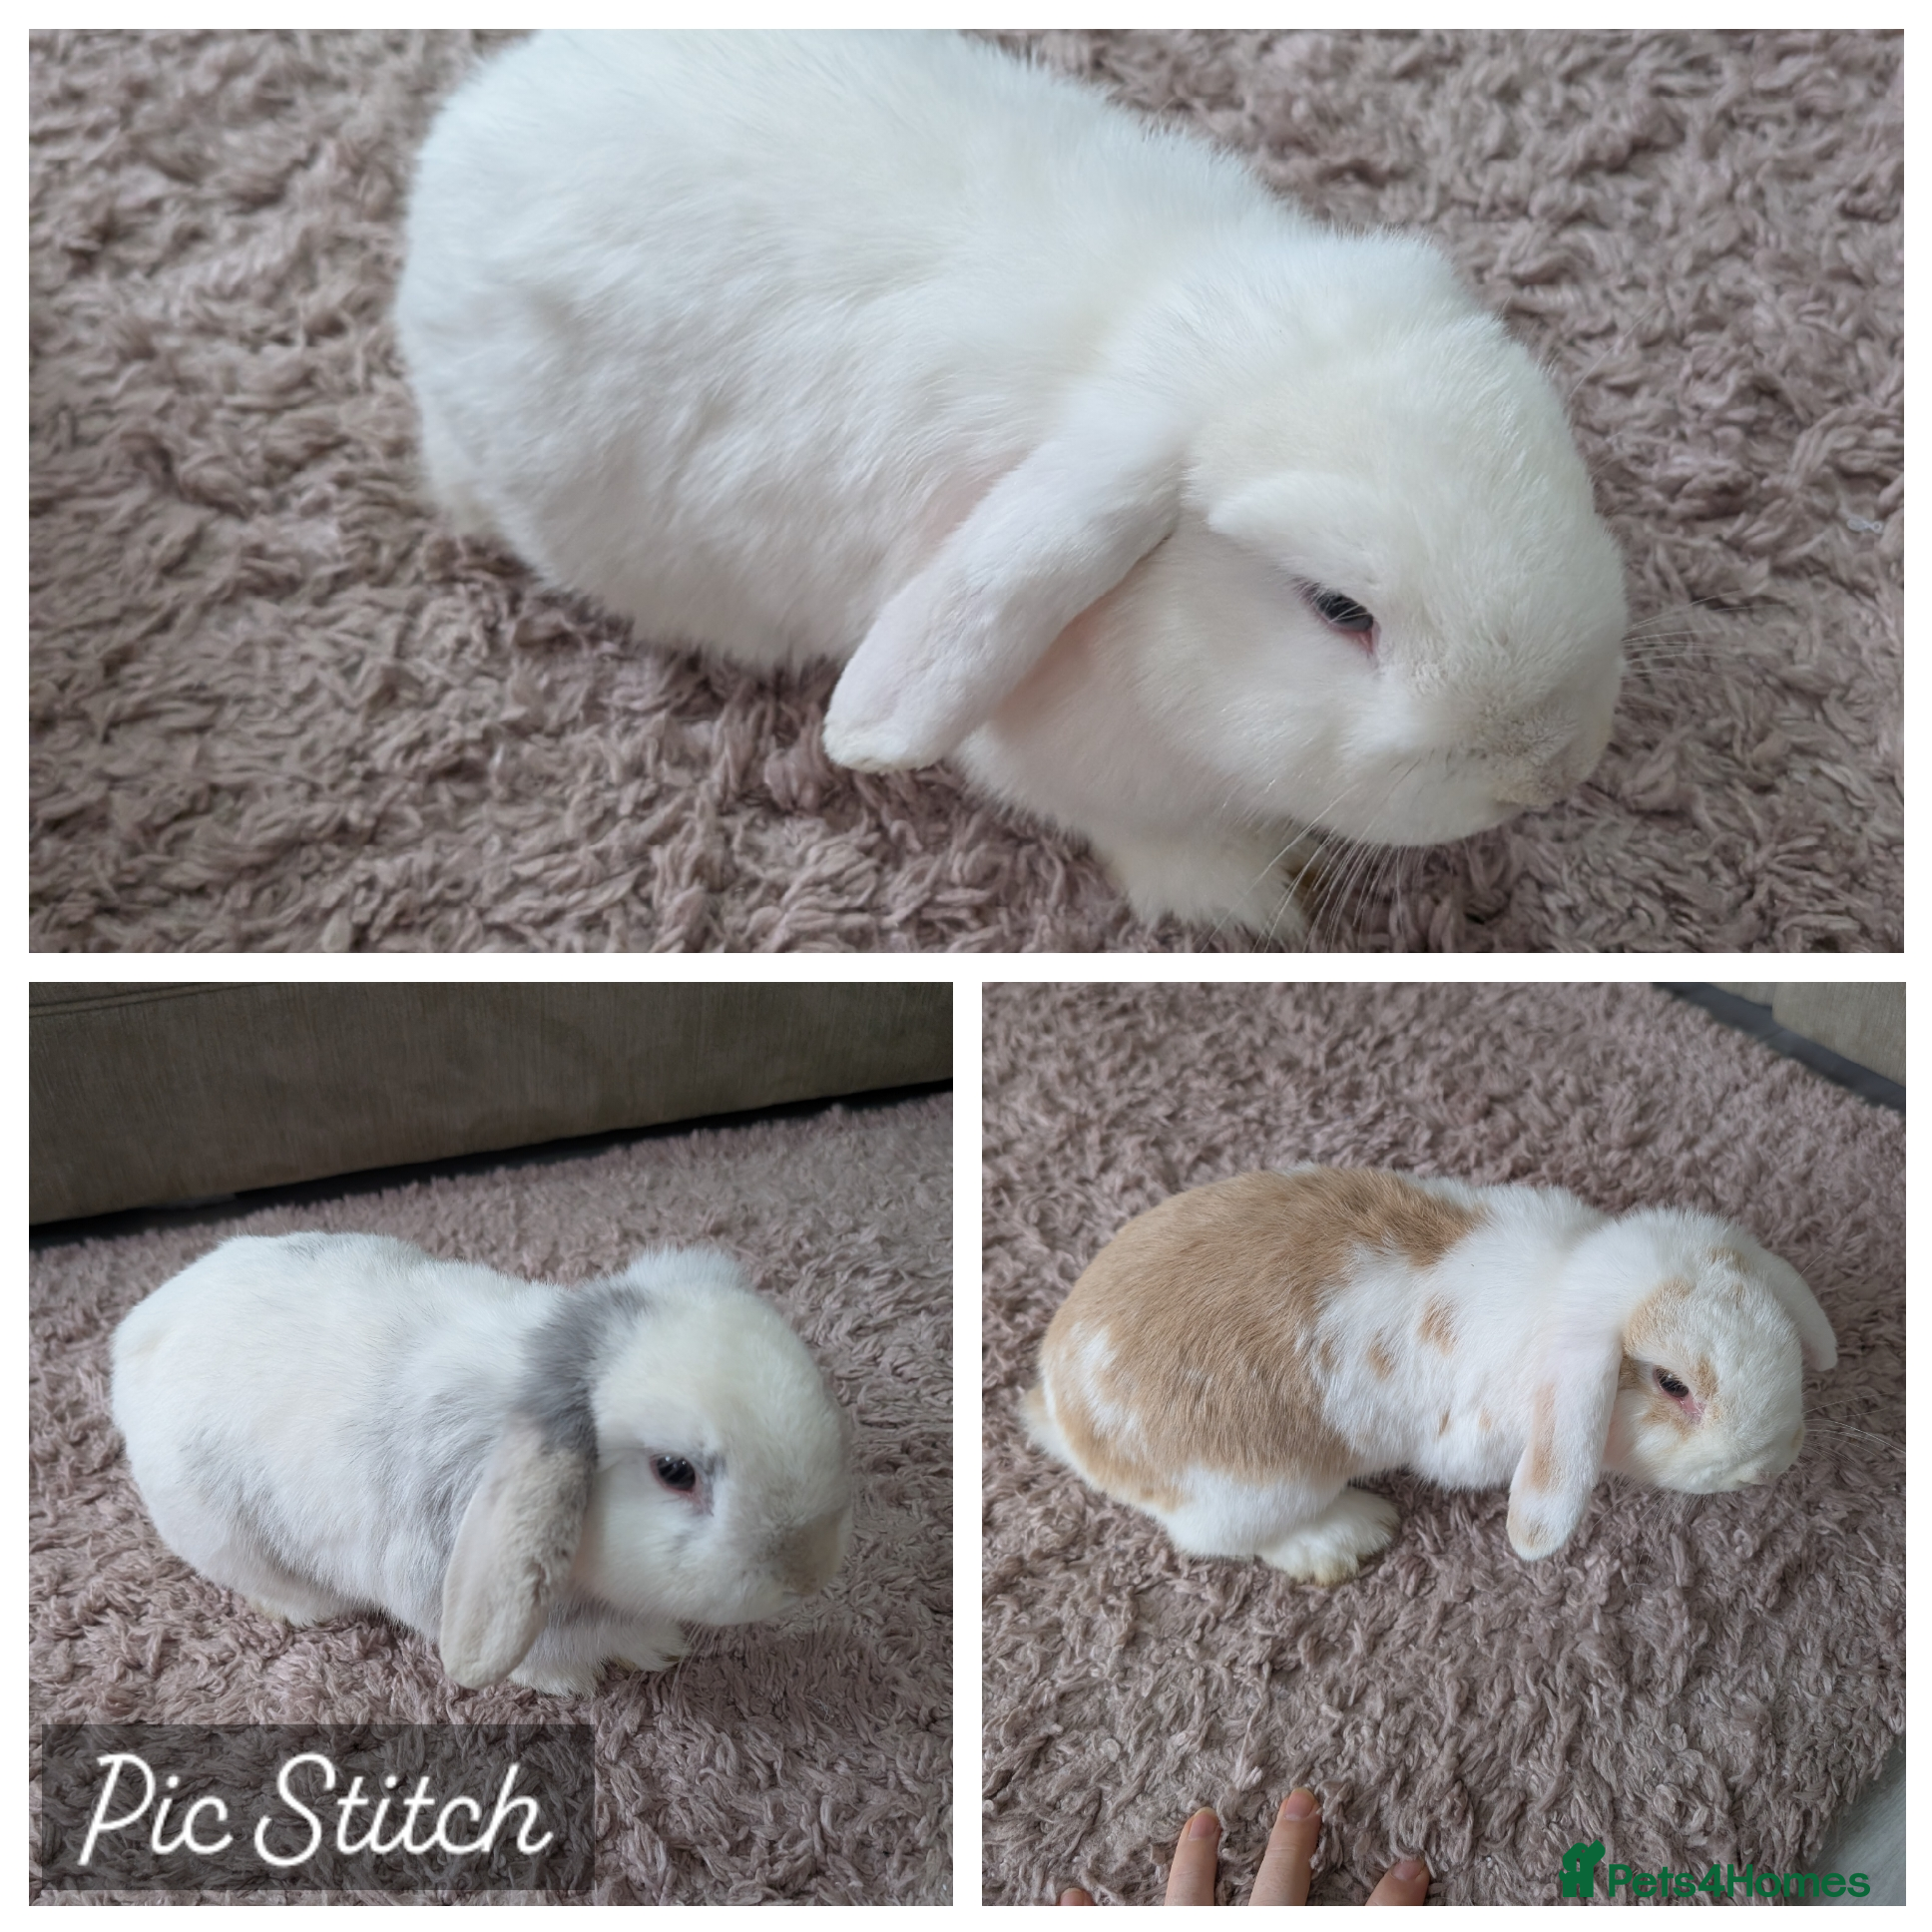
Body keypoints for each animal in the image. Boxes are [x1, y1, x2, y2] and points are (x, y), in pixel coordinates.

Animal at [111, 1233, 853, 1695]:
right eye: (675, 1471)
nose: (808, 1574)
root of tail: (137, 1332)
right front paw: (574, 1682)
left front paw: (657, 1647)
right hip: (225, 1539)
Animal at [393, 30, 1629, 941]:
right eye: (1338, 610)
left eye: (1554, 465)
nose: (1543, 772)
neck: (1175, 336)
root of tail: (458, 139)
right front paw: (1247, 898)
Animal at [1022, 1168, 1837, 1582]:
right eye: (1673, 1386)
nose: (1777, 1461)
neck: (1564, 1286)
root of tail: (1062, 1409)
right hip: (1257, 1489)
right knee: (1219, 1540)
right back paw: (1349, 1535)